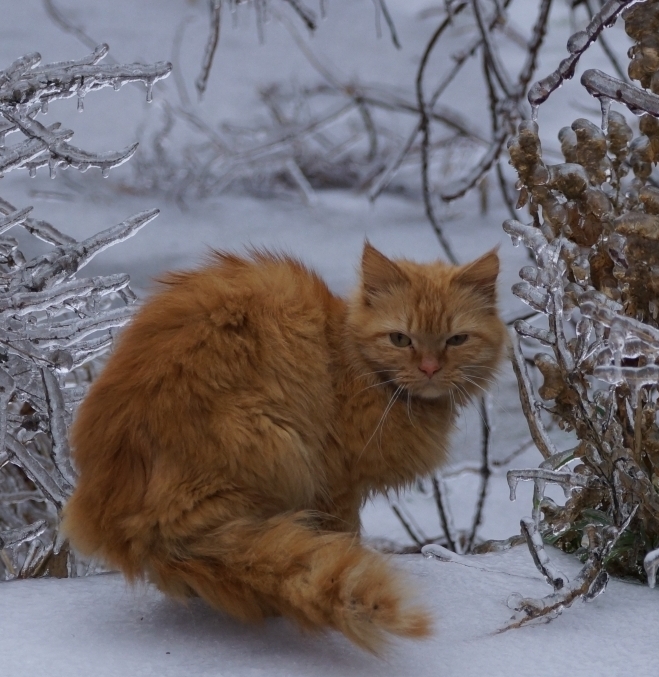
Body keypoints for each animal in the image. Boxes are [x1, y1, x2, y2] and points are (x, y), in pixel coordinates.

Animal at [62, 242, 506, 648]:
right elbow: (344, 537)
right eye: (400, 339)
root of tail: (128, 514)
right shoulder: (337, 482)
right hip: (280, 447)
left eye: (456, 340)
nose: (430, 368)